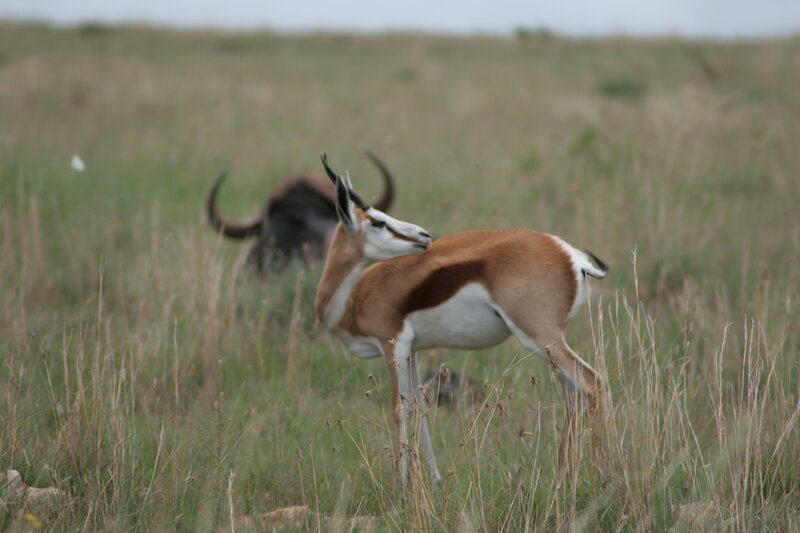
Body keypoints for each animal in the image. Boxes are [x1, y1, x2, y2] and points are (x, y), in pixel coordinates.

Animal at [315, 154, 608, 483]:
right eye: (378, 221)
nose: (424, 236)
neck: (353, 299)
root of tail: (572, 256)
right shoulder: (412, 351)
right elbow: (419, 407)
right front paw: (435, 480)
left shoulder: (393, 345)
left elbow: (399, 409)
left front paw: (403, 484)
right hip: (550, 345)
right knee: (572, 393)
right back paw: (563, 473)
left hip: (540, 336)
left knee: (592, 383)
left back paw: (601, 475)